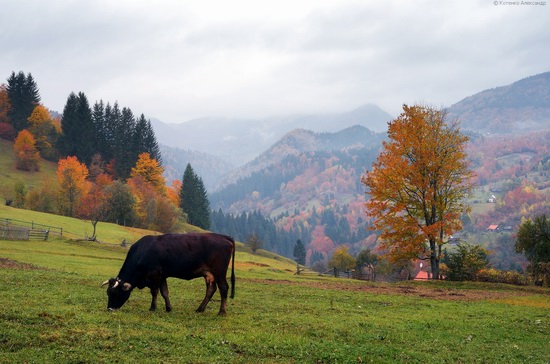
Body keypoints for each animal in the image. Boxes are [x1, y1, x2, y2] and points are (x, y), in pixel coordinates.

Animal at [102, 233, 236, 316]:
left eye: (115, 293)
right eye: (108, 293)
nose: (109, 309)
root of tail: (223, 237)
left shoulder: (154, 275)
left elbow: (155, 292)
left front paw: (153, 308)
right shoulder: (162, 275)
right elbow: (164, 292)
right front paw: (168, 308)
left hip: (219, 272)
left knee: (224, 288)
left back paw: (221, 312)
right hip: (209, 274)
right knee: (211, 289)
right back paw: (200, 309)